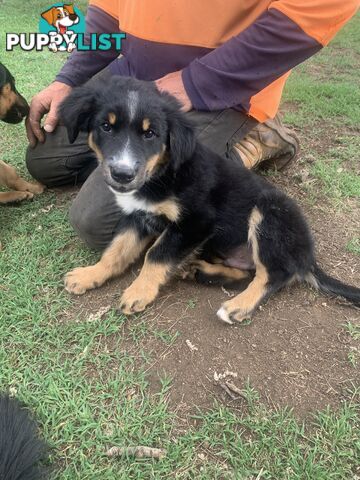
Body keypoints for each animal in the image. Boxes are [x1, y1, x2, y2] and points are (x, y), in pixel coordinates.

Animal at [59, 79, 360, 324]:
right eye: (106, 127)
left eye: (150, 134)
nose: (122, 175)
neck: (164, 173)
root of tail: (308, 257)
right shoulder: (137, 217)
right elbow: (116, 251)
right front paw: (90, 274)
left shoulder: (196, 222)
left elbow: (155, 254)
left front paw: (139, 292)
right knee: (247, 273)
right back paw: (200, 270)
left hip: (269, 213)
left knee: (273, 274)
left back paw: (238, 306)